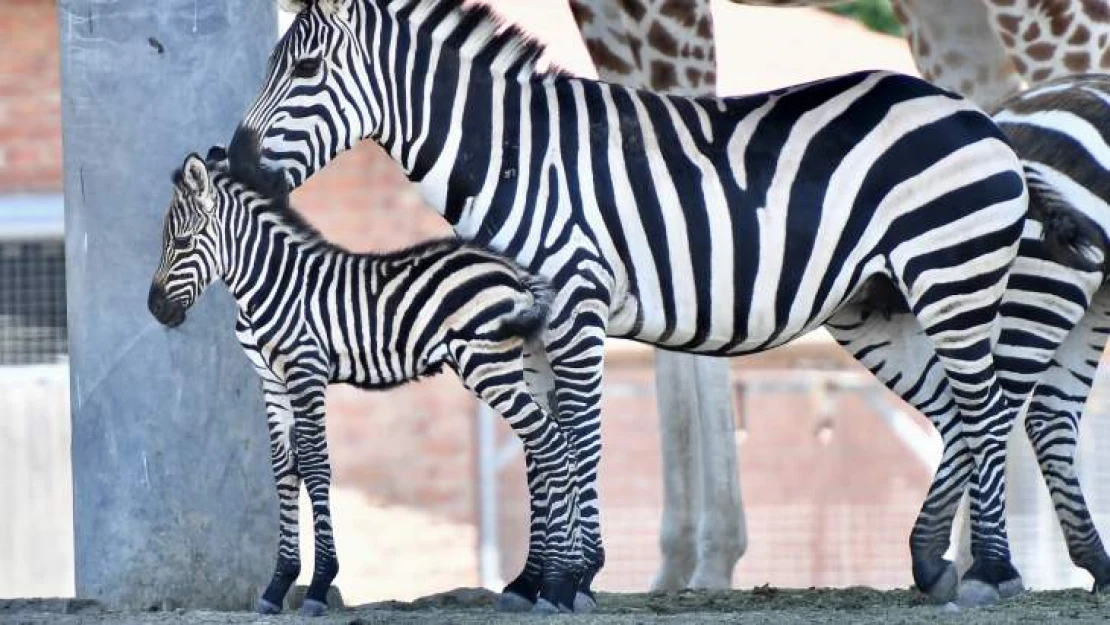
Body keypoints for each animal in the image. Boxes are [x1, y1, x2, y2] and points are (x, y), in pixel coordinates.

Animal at [145, 145, 572, 617]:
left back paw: (556, 587)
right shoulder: (272, 383)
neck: (269, 285)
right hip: (514, 368)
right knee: (546, 448)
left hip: (487, 365)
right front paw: (277, 586)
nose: (156, 309)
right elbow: (284, 470)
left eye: (182, 242)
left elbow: (315, 465)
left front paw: (318, 586)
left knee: (552, 445)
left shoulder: (306, 371)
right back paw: (546, 583)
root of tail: (515, 272)